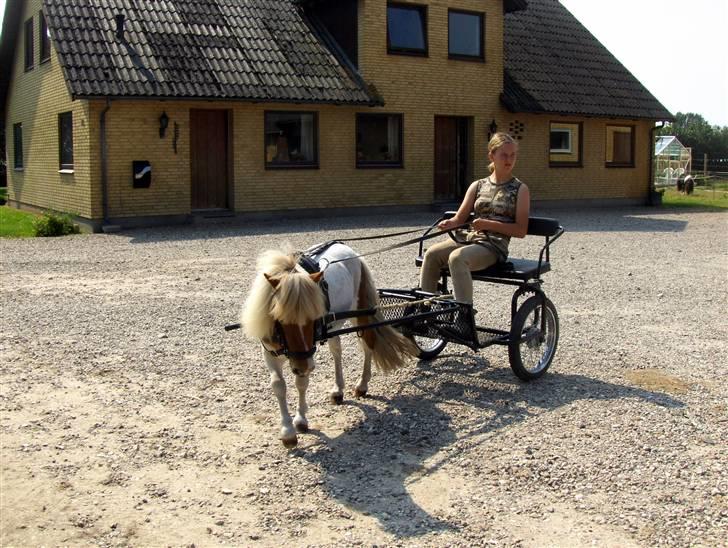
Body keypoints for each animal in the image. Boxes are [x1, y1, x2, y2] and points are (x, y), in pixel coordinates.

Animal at [243, 243, 418, 446]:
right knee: (336, 350)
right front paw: (287, 431)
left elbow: (301, 383)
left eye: (313, 318)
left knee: (367, 345)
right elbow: (279, 385)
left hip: (359, 313)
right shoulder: (270, 353)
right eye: (280, 319)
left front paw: (300, 419)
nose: (302, 366)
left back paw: (362, 385)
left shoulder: (306, 355)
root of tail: (348, 249)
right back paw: (338, 390)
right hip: (333, 326)